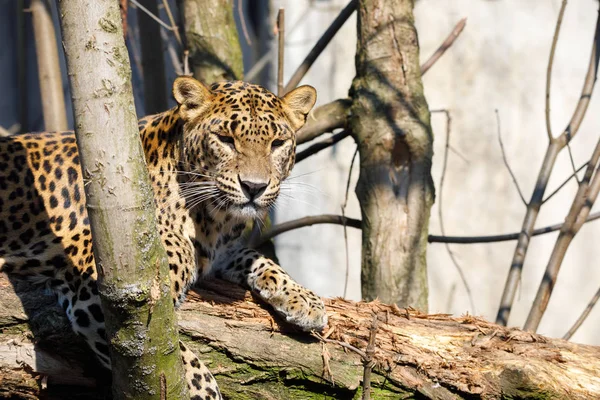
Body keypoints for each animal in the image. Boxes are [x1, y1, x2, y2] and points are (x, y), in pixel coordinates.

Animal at [0, 76, 328, 400]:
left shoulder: (219, 252)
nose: (254, 187)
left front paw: (304, 299)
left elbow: (257, 257)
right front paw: (204, 391)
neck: (213, 219)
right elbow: (177, 358)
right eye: (225, 139)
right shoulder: (104, 293)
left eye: (277, 143)